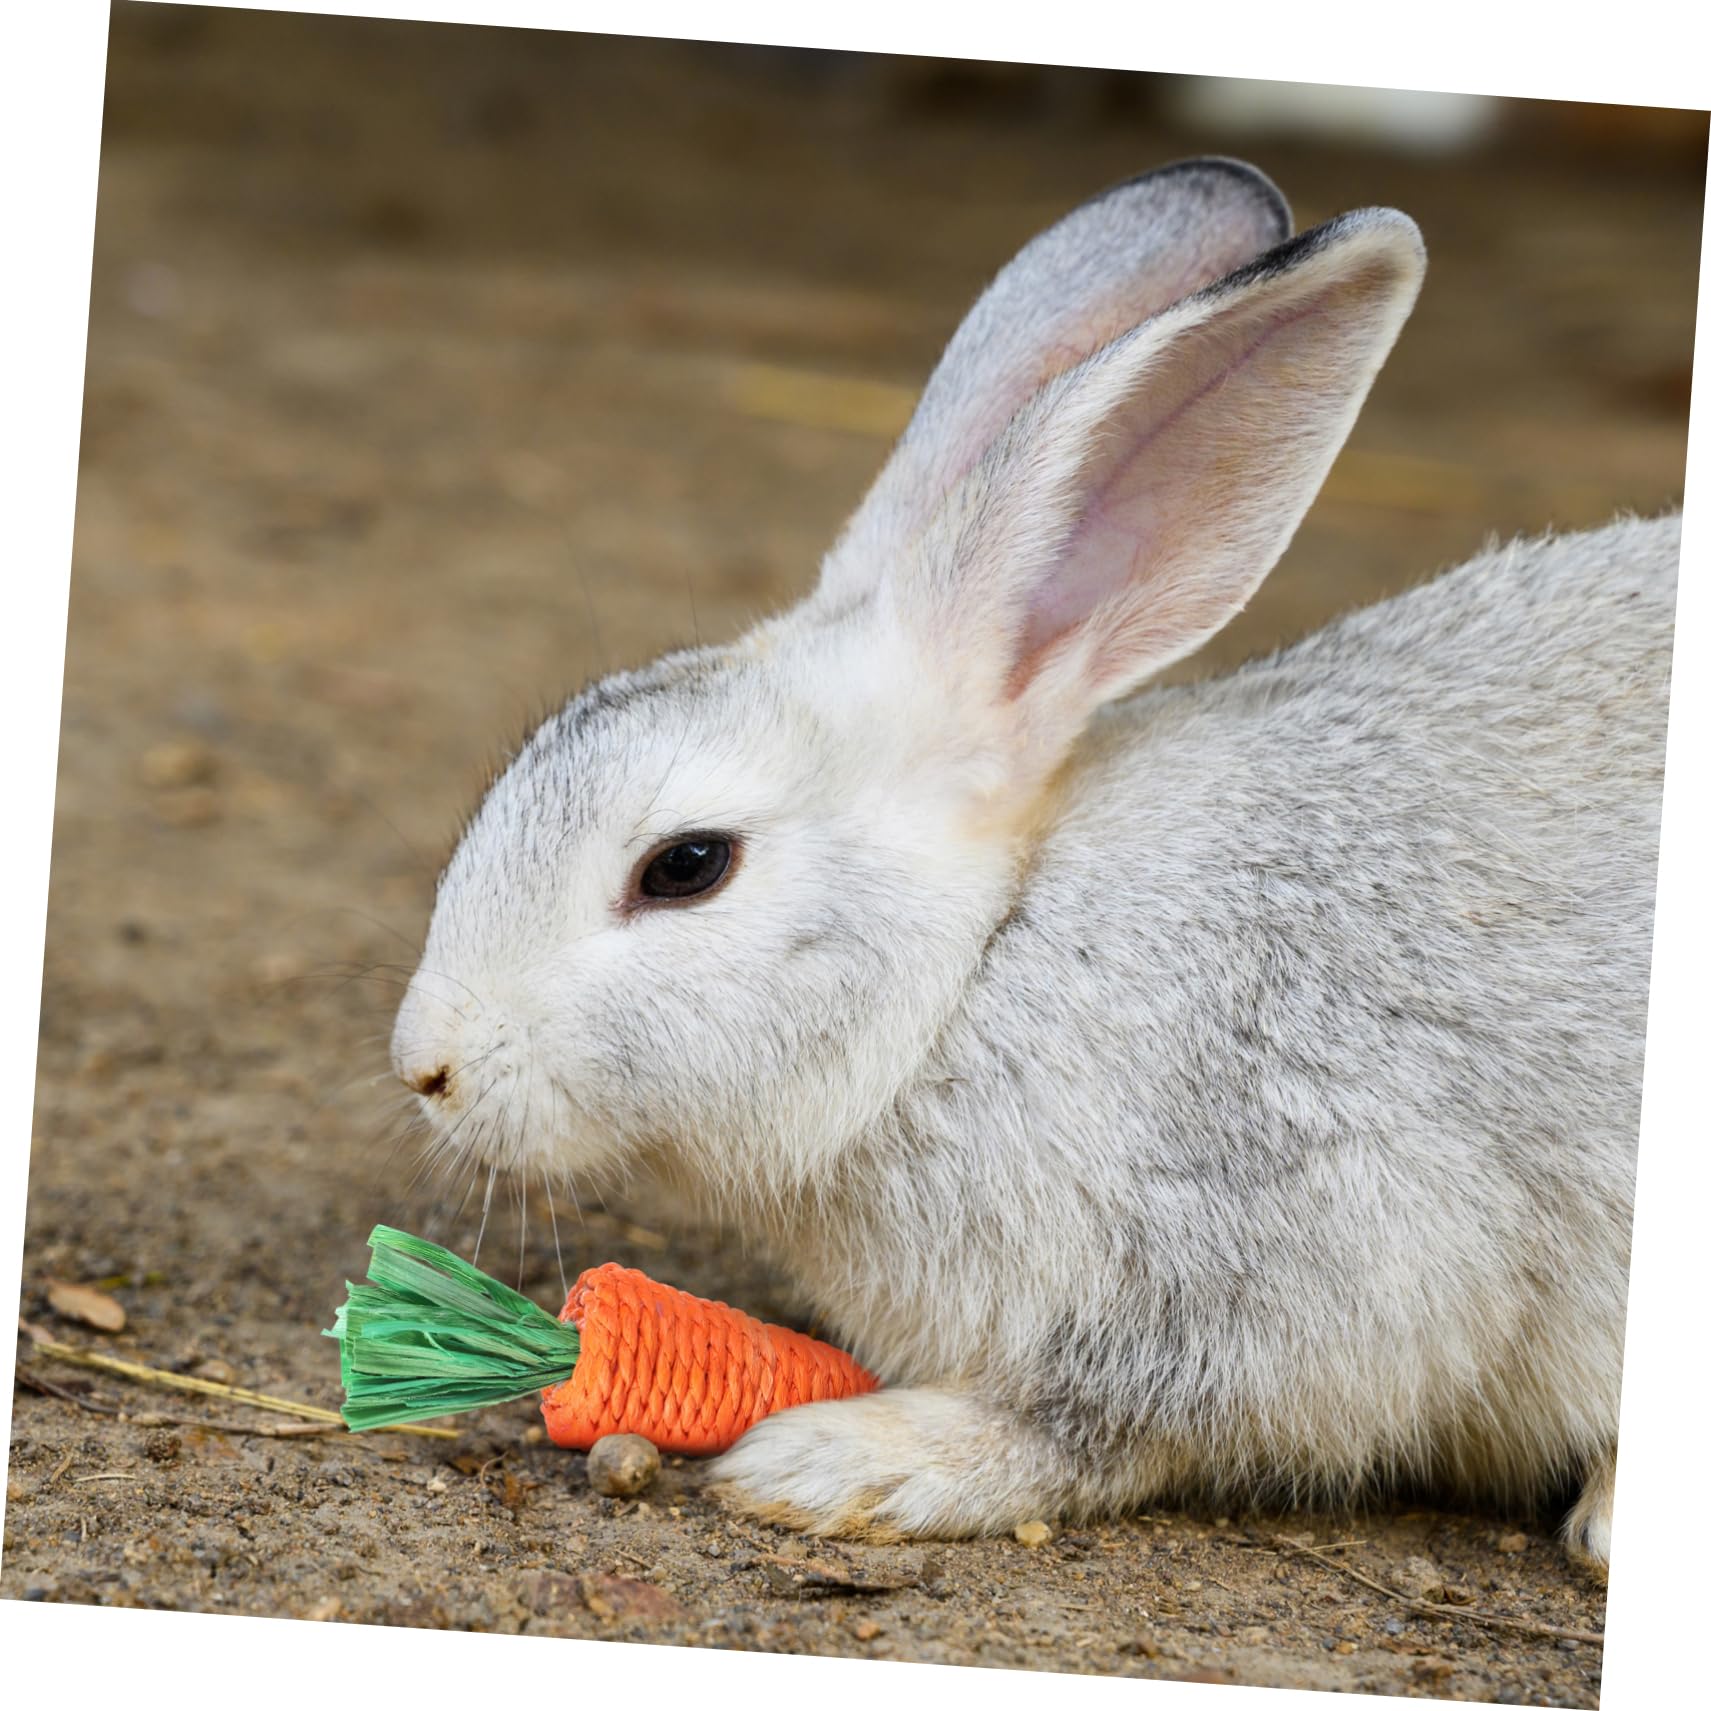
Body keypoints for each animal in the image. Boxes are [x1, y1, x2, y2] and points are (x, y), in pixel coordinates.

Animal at [389, 158, 1676, 1571]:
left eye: (685, 865)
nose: (426, 1066)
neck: (981, 963)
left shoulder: (1300, 1255)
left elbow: (1087, 1427)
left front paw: (841, 1461)